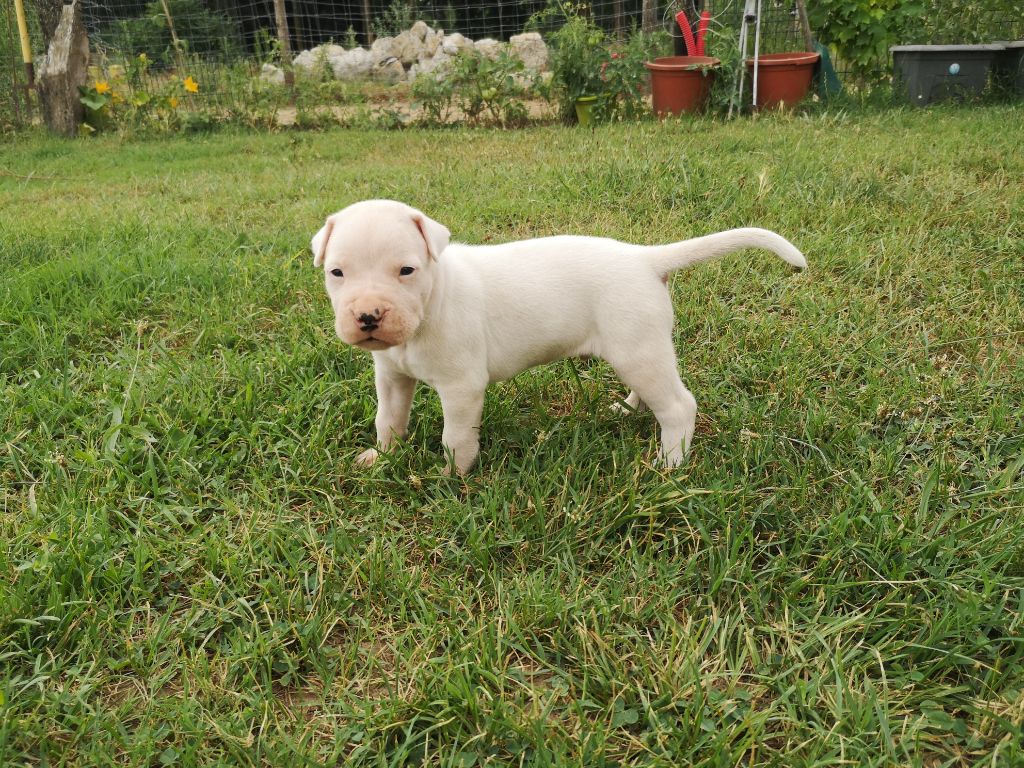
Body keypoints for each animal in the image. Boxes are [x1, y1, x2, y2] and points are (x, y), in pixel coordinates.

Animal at [311, 198, 806, 475]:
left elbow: (456, 437)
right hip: (639, 349)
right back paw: (629, 410)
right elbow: (389, 420)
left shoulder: (462, 388)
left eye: (406, 270)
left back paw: (669, 464)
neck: (434, 299)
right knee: (653, 393)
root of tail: (645, 259)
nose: (368, 316)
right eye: (337, 273)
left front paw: (452, 477)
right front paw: (384, 458)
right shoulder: (392, 377)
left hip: (637, 349)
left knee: (679, 406)